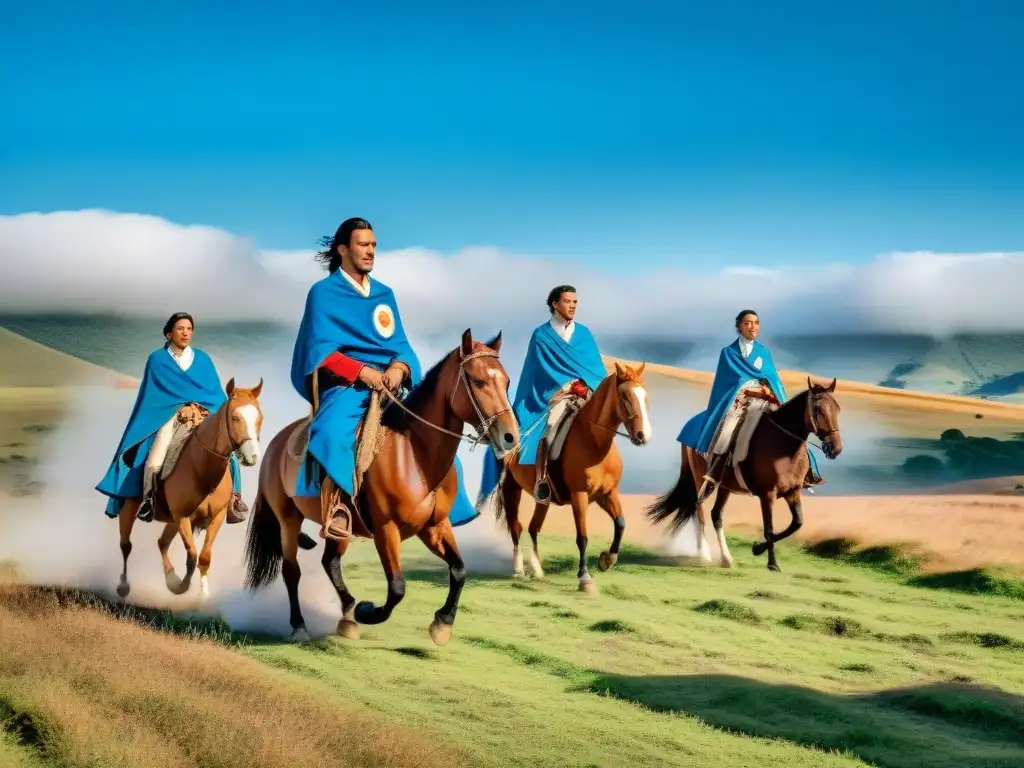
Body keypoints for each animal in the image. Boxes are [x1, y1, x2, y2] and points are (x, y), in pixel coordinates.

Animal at [115, 382, 264, 606]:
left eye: (259, 417)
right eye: (234, 417)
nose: (252, 456)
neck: (201, 469)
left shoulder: (217, 517)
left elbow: (204, 557)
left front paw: (202, 595)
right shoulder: (182, 516)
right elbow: (192, 555)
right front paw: (184, 586)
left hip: (171, 520)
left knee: (162, 543)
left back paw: (170, 579)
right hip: (130, 506)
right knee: (126, 545)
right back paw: (125, 586)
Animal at [243, 331, 520, 651]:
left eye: (507, 381)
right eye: (478, 381)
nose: (510, 436)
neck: (414, 454)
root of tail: (274, 444)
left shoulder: (434, 526)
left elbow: (459, 570)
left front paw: (442, 624)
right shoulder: (386, 530)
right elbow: (397, 587)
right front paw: (367, 611)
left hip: (340, 526)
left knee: (330, 561)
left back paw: (347, 614)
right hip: (287, 518)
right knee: (291, 570)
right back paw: (302, 625)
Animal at [491, 362, 651, 593]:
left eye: (645, 396)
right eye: (625, 397)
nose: (643, 436)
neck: (593, 441)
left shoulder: (607, 493)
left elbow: (620, 523)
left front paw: (606, 560)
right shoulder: (579, 495)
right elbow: (582, 537)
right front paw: (585, 578)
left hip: (543, 499)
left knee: (533, 528)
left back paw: (537, 569)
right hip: (511, 490)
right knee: (516, 528)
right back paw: (519, 570)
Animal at [643, 376, 843, 573]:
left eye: (837, 409)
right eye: (818, 409)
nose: (836, 448)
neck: (782, 446)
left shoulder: (792, 491)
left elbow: (796, 524)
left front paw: (758, 548)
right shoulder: (767, 494)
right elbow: (769, 529)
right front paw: (771, 562)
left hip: (725, 486)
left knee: (716, 515)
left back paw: (726, 559)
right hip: (700, 478)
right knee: (698, 512)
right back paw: (705, 554)